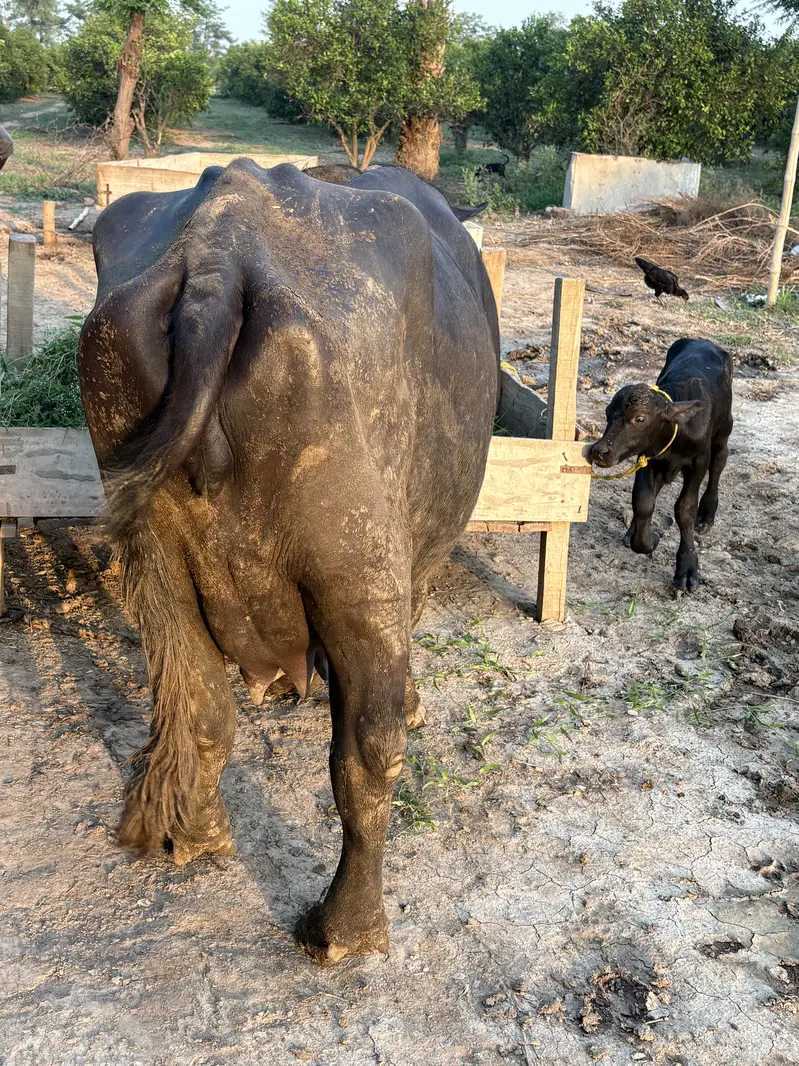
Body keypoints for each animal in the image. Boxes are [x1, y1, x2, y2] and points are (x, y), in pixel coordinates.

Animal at [78, 159, 500, 965]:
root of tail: (218, 259)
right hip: (359, 567)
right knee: (369, 752)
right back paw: (346, 930)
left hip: (153, 559)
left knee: (196, 705)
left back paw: (195, 835)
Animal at [589, 338, 733, 592]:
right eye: (608, 414)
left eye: (640, 419)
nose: (600, 452)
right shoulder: (648, 459)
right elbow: (643, 501)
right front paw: (647, 539)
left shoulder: (698, 461)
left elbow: (685, 508)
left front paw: (687, 567)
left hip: (725, 428)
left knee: (719, 463)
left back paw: (706, 515)